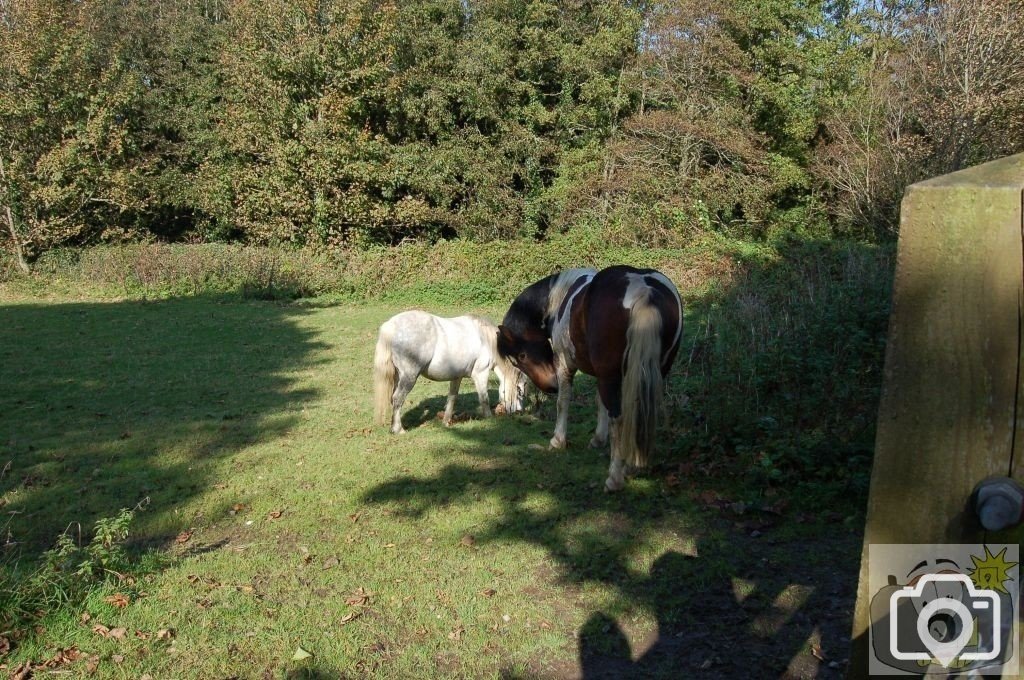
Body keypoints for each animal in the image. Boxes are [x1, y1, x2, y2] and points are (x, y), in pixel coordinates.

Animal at [372, 311, 524, 432]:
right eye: (519, 389)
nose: (519, 411)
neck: (485, 340)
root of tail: (391, 325)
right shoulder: (481, 374)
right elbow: (484, 398)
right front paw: (489, 418)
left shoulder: (457, 377)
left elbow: (452, 398)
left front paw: (446, 421)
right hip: (409, 377)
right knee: (398, 398)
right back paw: (398, 430)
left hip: (398, 377)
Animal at [495, 264, 679, 489]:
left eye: (521, 356)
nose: (550, 387)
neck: (560, 297)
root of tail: (643, 290)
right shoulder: (600, 373)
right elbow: (600, 403)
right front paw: (598, 439)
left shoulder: (565, 365)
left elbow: (563, 402)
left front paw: (557, 440)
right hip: (651, 374)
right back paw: (632, 465)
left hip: (611, 377)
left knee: (619, 418)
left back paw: (615, 477)